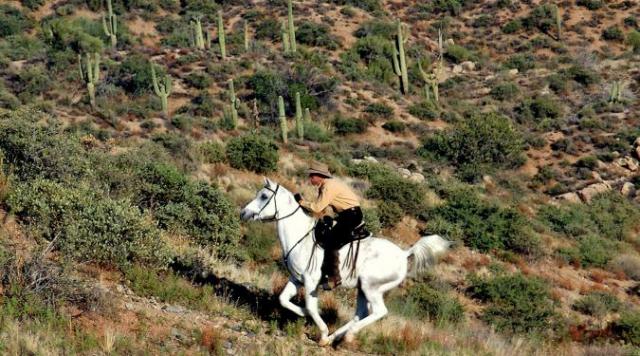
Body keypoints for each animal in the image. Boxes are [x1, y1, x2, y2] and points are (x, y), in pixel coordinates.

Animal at [239, 178, 450, 344]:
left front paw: (322, 331)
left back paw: (344, 337)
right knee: (360, 314)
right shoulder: (296, 279)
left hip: (371, 287)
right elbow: (284, 299)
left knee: (379, 312)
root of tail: (404, 254)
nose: (243, 213)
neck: (300, 236)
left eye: (264, 196)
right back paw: (335, 338)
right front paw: (306, 316)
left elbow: (311, 307)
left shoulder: (311, 282)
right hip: (362, 289)